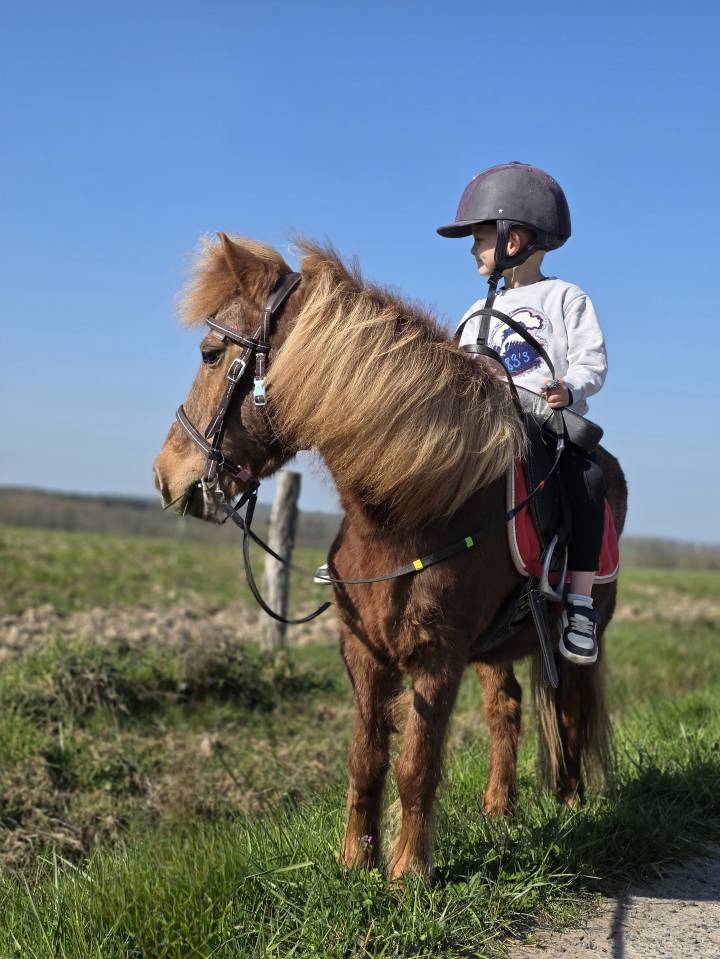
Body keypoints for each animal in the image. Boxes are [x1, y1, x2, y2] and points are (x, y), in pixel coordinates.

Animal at [154, 232, 628, 880]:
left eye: (208, 353)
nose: (166, 475)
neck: (408, 512)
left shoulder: (437, 656)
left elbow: (415, 766)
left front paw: (408, 875)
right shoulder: (365, 653)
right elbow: (366, 759)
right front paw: (356, 860)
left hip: (572, 637)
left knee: (571, 708)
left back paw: (573, 804)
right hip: (495, 648)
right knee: (506, 707)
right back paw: (498, 808)